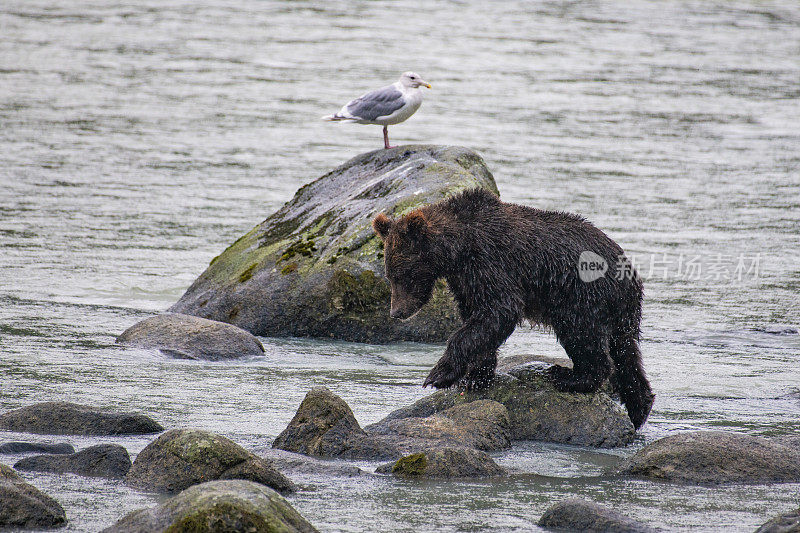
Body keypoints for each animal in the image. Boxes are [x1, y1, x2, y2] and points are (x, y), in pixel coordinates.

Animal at [372, 187, 652, 428]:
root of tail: (629, 274)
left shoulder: (490, 262)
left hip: (581, 296)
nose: (397, 312)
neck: (458, 248)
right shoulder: (465, 280)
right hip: (619, 312)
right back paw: (639, 406)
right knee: (625, 352)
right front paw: (476, 375)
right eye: (389, 275)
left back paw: (570, 377)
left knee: (583, 336)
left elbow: (499, 310)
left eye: (404, 275)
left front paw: (439, 375)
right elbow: (478, 318)